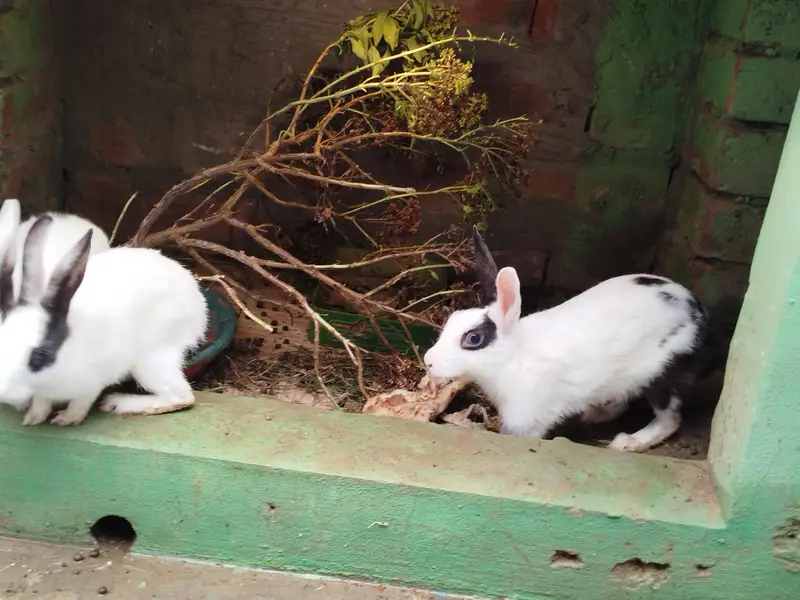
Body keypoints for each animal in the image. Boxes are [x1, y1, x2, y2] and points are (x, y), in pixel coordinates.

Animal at [0, 214, 208, 426]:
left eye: (40, 356)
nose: (3, 392)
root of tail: (197, 299)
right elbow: (41, 402)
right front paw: (33, 418)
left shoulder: (94, 380)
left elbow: (82, 401)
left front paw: (67, 419)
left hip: (152, 359)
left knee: (182, 397)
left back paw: (118, 403)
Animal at [423, 226, 713, 453]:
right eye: (452, 319)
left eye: (473, 338)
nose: (428, 361)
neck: (512, 358)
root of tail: (699, 313)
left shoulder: (527, 419)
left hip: (662, 374)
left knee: (669, 419)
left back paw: (627, 442)